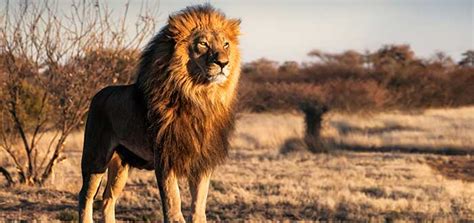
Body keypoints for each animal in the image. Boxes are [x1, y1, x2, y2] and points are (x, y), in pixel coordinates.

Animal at [78, 4, 241, 222]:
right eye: (203, 44)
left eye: (225, 44)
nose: (224, 63)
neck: (199, 97)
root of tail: (98, 93)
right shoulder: (165, 158)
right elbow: (173, 203)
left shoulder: (202, 161)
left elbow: (198, 207)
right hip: (95, 156)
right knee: (85, 196)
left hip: (121, 164)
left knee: (107, 199)